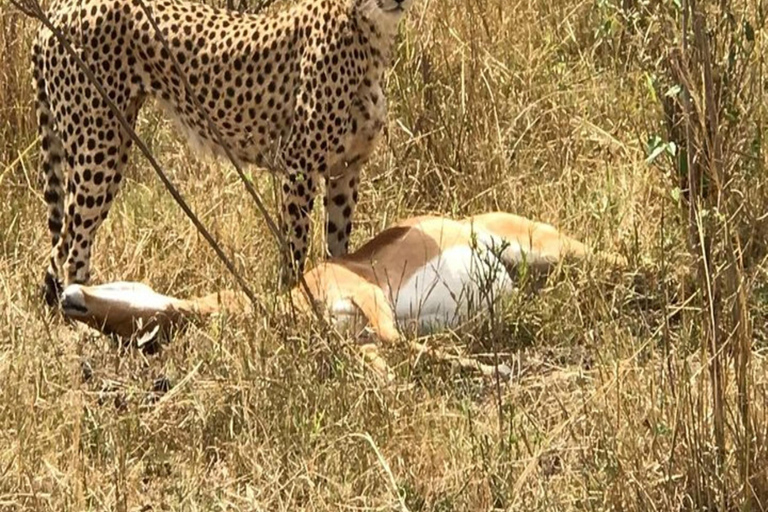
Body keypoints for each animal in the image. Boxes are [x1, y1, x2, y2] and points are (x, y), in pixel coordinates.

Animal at [31, 0, 414, 306]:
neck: (368, 31)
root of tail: (60, 8)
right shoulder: (298, 167)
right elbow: (296, 247)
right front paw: (293, 302)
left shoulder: (345, 171)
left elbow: (339, 247)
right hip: (99, 149)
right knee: (69, 250)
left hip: (111, 143)